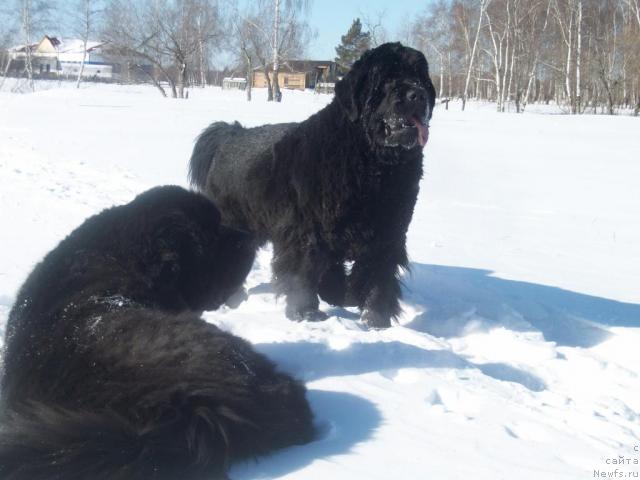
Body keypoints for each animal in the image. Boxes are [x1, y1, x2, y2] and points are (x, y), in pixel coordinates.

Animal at [189, 43, 436, 328]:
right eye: (385, 79)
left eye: (420, 77)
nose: (417, 94)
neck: (372, 166)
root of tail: (229, 134)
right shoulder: (307, 230)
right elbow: (304, 271)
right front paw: (306, 313)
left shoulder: (388, 232)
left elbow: (378, 275)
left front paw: (376, 320)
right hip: (234, 227)